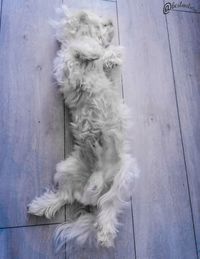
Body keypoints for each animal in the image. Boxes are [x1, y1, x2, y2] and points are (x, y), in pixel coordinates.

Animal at [27, 6, 139, 252]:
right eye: (102, 24)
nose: (111, 22)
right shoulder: (64, 68)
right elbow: (80, 50)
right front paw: (90, 48)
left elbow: (103, 55)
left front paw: (101, 52)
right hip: (66, 169)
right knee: (68, 196)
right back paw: (41, 205)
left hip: (125, 173)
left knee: (109, 206)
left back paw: (104, 232)